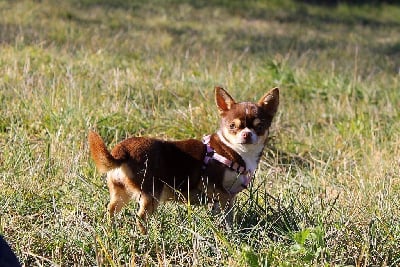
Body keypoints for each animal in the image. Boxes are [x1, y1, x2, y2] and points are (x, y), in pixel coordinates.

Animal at [89, 87, 280, 233]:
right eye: (233, 126)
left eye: (260, 127)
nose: (247, 134)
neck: (234, 150)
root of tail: (122, 151)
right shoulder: (218, 189)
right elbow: (227, 214)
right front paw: (231, 233)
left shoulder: (223, 197)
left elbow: (222, 214)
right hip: (152, 194)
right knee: (140, 218)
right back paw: (145, 236)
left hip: (120, 192)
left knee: (111, 210)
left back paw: (110, 231)